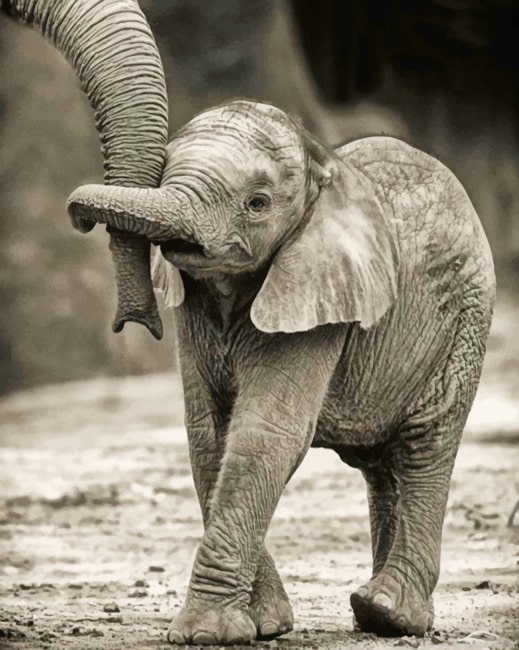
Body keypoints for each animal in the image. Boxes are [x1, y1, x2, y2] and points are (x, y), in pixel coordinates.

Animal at [67, 99, 496, 645]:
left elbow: (265, 434)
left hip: (464, 321)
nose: (133, 325)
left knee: (425, 445)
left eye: (258, 203)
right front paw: (265, 625)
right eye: (163, 172)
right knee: (384, 468)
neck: (320, 168)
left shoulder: (318, 294)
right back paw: (373, 615)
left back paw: (390, 614)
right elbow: (209, 435)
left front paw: (205, 634)